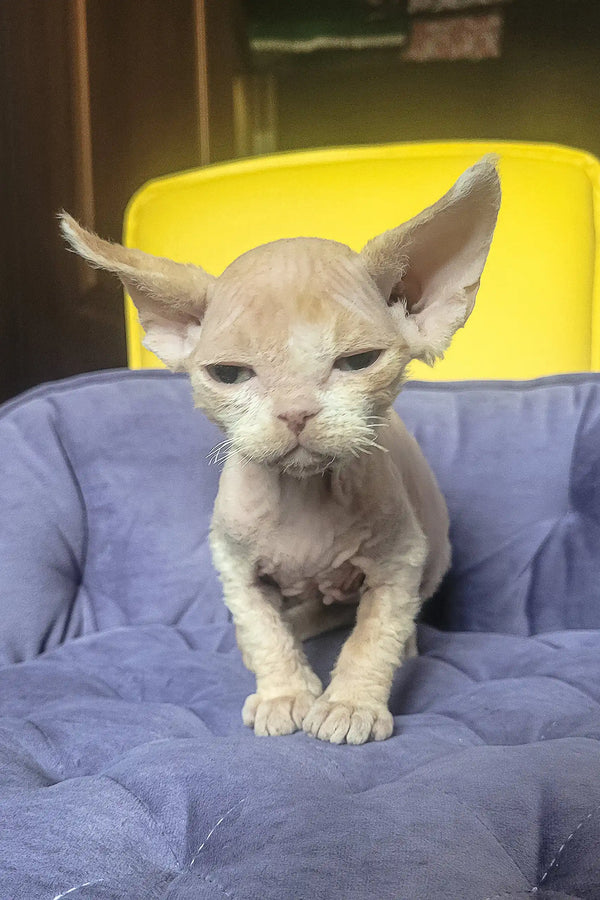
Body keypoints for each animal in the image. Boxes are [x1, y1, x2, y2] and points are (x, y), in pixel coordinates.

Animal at [61, 155, 502, 744]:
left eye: (358, 361)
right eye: (229, 374)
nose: (295, 412)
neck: (303, 494)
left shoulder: (402, 558)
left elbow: (375, 633)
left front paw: (350, 704)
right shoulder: (233, 564)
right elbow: (262, 628)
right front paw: (284, 693)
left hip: (437, 547)